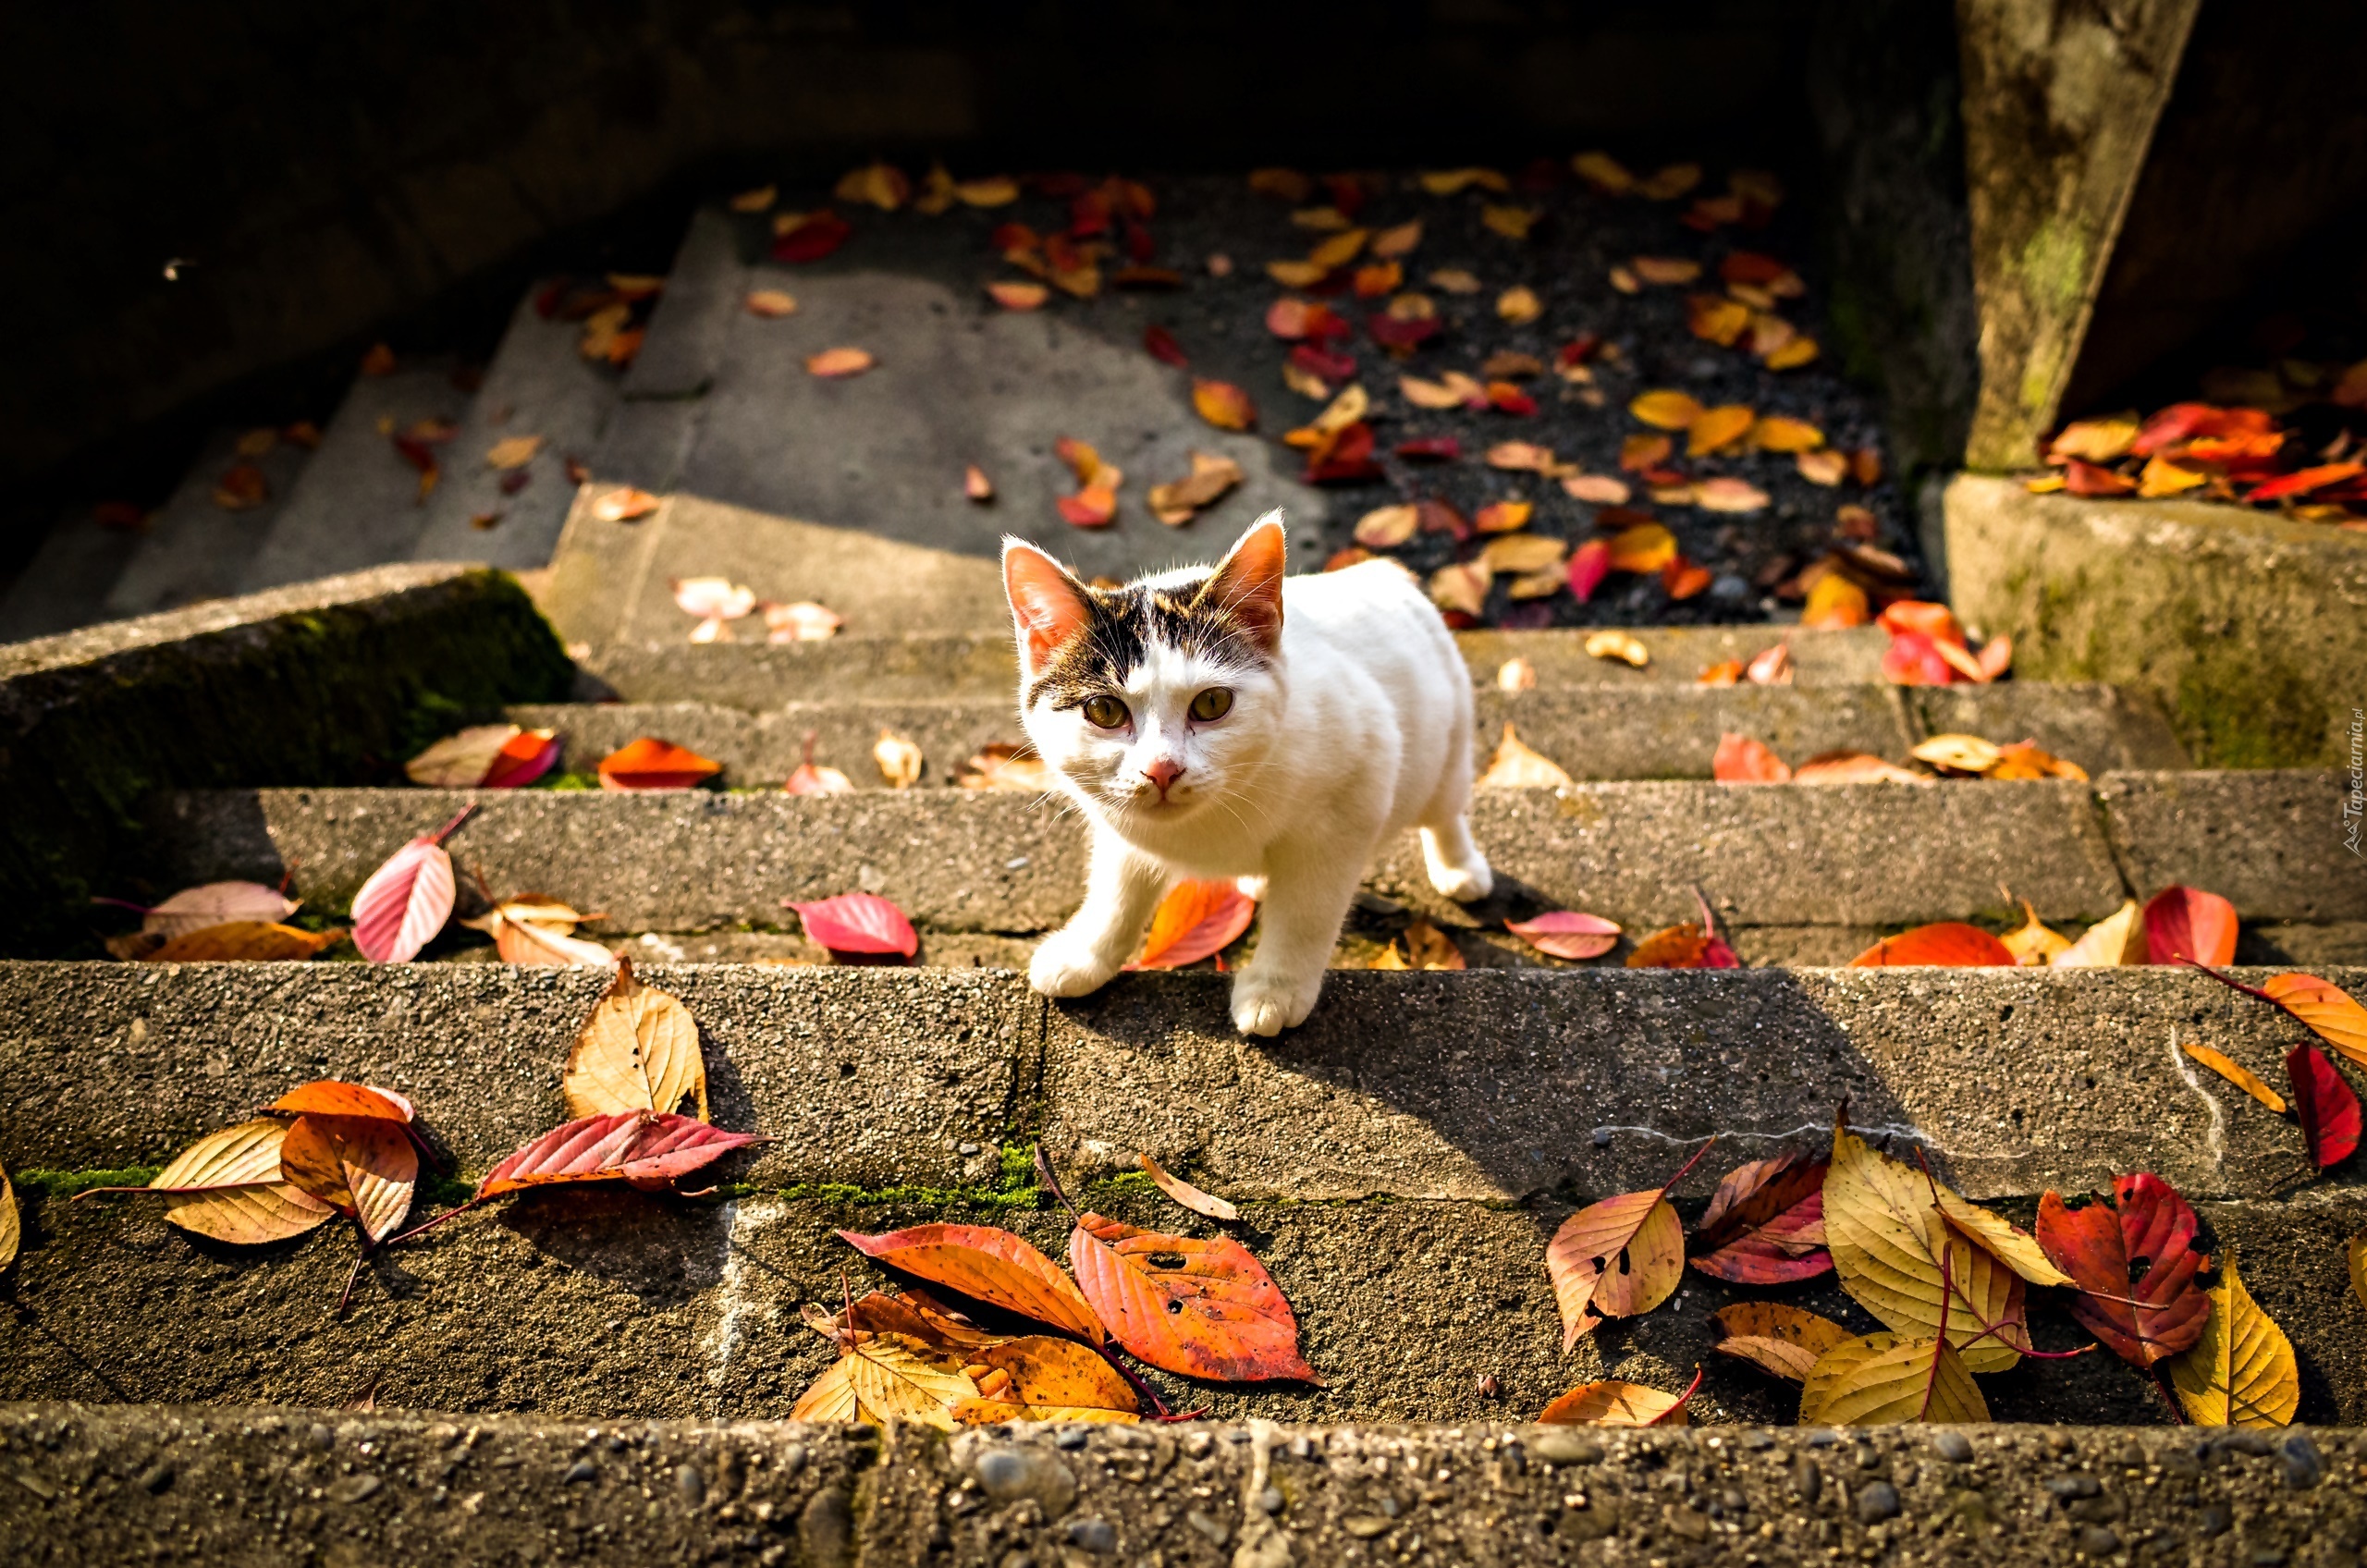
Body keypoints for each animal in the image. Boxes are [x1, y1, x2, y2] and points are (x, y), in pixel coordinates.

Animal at [1003, 508, 1486, 1037]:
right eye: (1104, 711)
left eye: (1212, 703)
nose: (1161, 769)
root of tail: (1376, 572)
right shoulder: (1120, 830)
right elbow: (1117, 892)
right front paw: (1086, 954)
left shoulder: (1350, 803)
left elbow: (1306, 912)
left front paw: (1277, 987)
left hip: (1448, 745)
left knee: (1445, 811)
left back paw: (1460, 867)